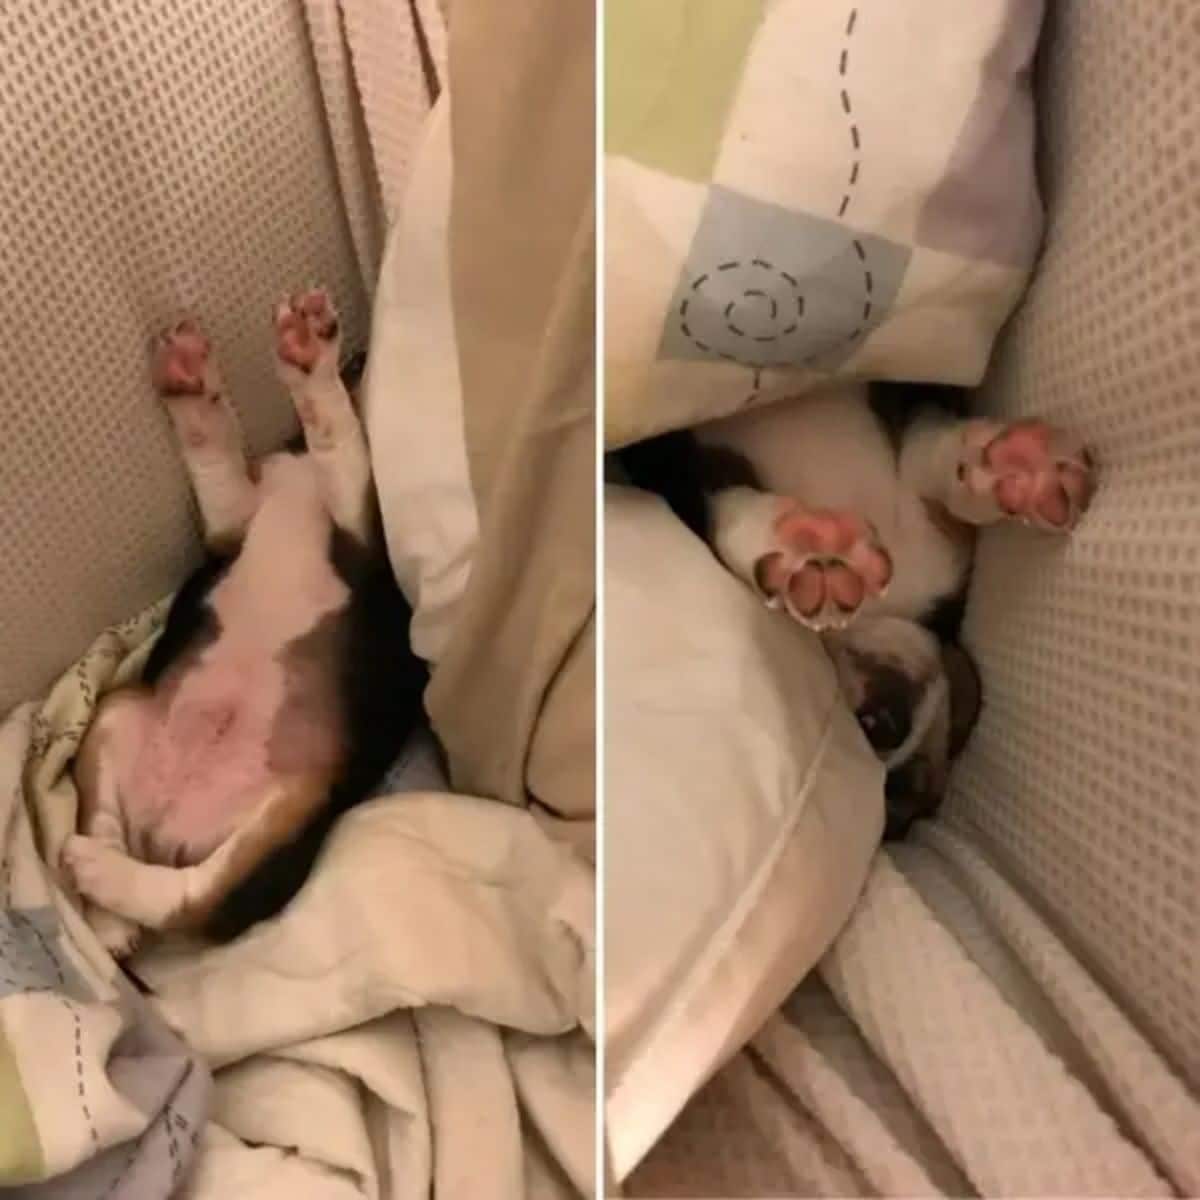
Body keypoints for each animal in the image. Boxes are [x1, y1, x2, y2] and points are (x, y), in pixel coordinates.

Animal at [60, 288, 429, 955]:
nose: (355, 360)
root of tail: (162, 830)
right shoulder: (233, 522)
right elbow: (215, 452)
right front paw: (192, 381)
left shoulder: (359, 524)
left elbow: (339, 438)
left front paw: (311, 365)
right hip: (115, 715)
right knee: (106, 824)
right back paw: (107, 917)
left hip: (287, 814)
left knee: (187, 899)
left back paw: (100, 877)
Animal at [619, 381, 1099, 835]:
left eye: (899, 800)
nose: (884, 722)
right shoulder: (678, 463)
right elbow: (723, 506)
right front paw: (798, 543)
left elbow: (925, 442)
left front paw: (1013, 466)